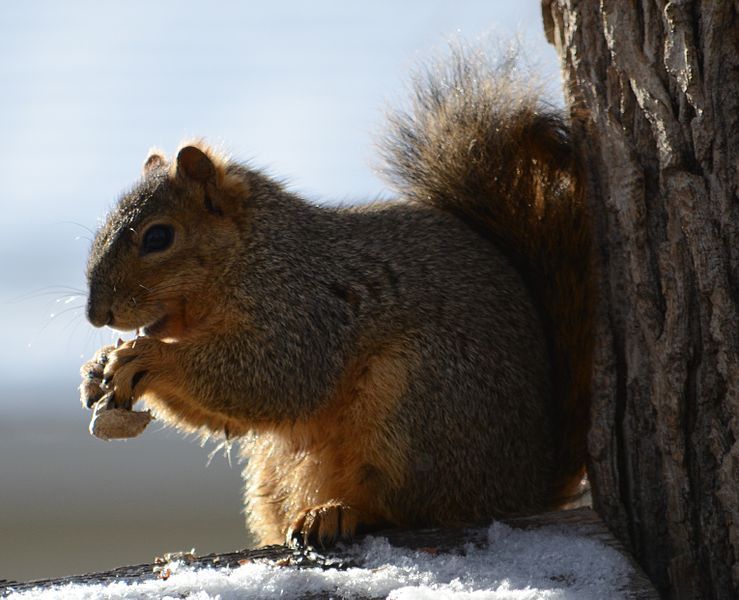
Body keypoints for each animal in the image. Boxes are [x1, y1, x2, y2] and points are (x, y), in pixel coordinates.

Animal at [78, 48, 596, 548]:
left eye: (158, 237)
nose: (96, 315)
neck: (253, 255)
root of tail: (528, 486)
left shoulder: (306, 311)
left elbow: (273, 377)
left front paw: (149, 356)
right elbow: (232, 417)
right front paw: (98, 366)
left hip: (418, 405)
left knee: (413, 509)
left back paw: (338, 513)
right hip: (280, 467)